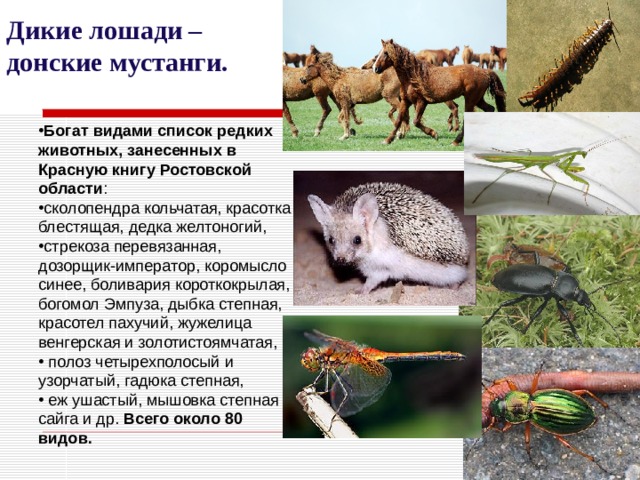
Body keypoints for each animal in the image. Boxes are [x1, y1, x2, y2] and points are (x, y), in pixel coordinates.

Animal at [373, 39, 506, 146]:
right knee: (490, 109)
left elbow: (416, 121)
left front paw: (434, 134)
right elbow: (398, 121)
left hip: (470, 99)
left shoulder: (421, 102)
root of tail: (485, 72)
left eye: (386, 53)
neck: (412, 76)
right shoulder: (406, 102)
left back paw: (456, 141)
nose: (375, 68)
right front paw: (387, 140)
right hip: (478, 99)